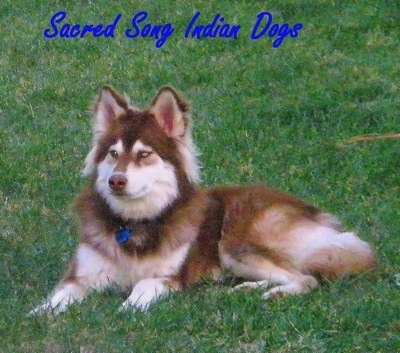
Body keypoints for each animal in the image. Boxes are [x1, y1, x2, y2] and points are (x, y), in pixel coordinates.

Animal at [29, 85, 376, 314]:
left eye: (144, 154)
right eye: (113, 153)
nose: (116, 180)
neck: (135, 223)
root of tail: (311, 211)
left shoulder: (168, 277)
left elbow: (141, 286)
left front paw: (127, 308)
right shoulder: (80, 277)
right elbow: (57, 298)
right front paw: (39, 314)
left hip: (236, 244)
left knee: (306, 279)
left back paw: (275, 294)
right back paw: (247, 288)